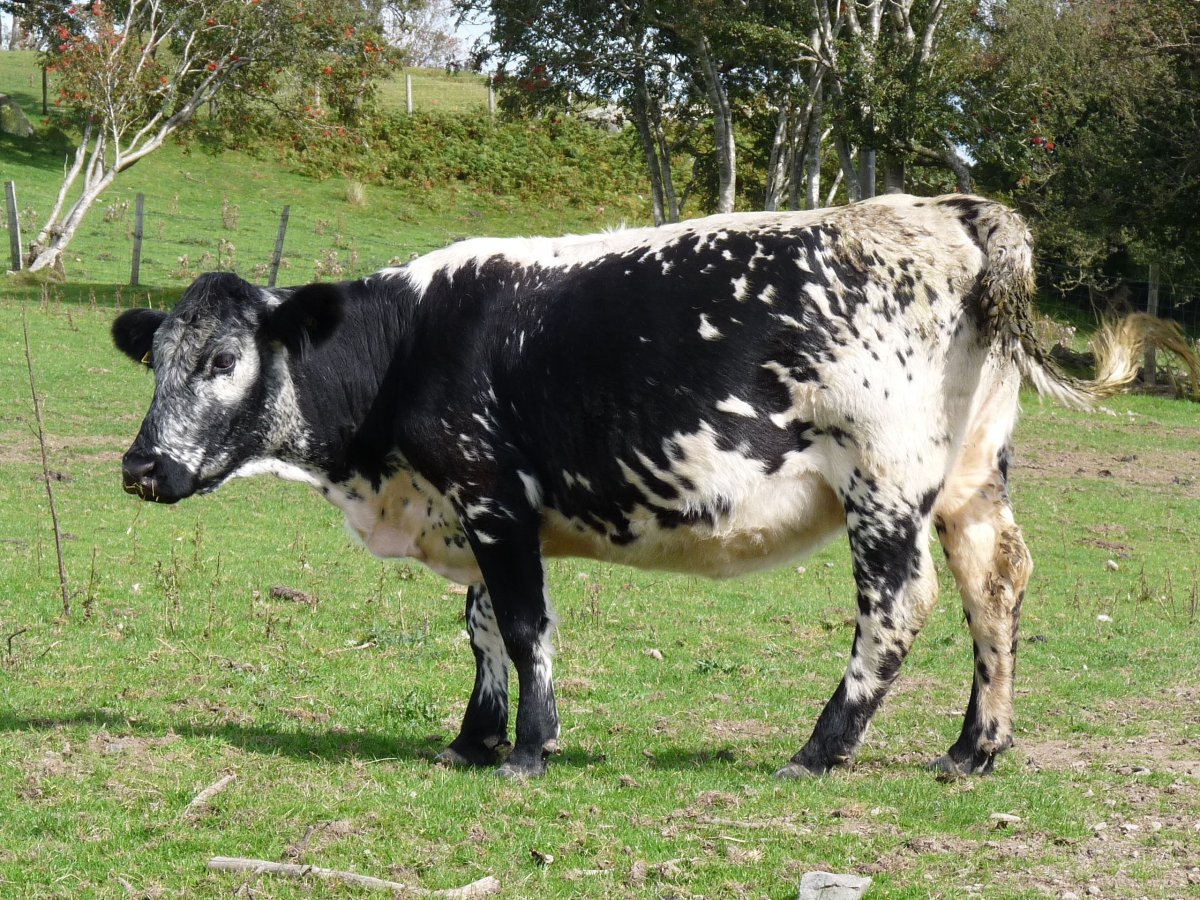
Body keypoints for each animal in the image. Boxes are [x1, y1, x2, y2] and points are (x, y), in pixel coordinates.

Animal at [112, 193, 1161, 780]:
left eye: (223, 359)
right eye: (156, 358)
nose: (141, 467)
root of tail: (949, 207)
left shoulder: (493, 495)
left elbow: (523, 625)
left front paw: (527, 750)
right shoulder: (475, 515)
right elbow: (481, 628)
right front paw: (471, 738)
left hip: (884, 484)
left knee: (899, 608)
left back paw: (819, 752)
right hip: (972, 481)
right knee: (997, 587)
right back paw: (974, 750)